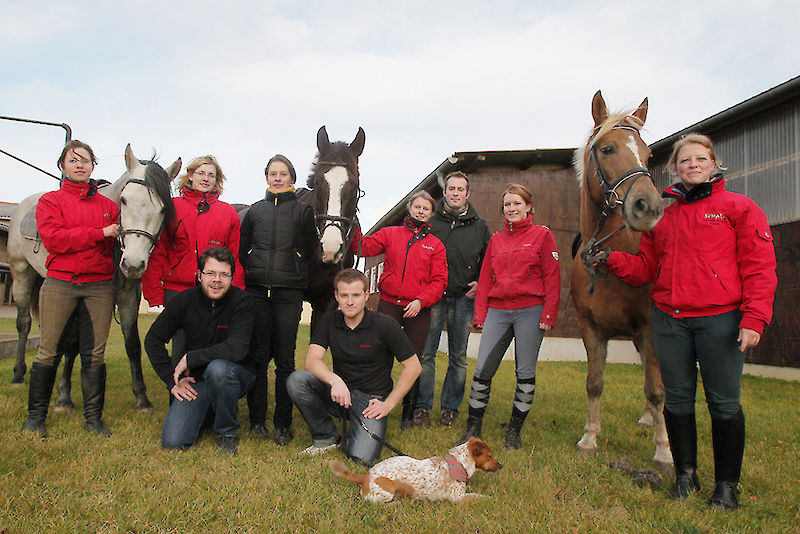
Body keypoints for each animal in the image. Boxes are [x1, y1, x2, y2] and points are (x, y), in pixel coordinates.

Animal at [330, 438, 500, 504]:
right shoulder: (457, 498)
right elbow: (477, 496)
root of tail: (365, 476)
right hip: (387, 492)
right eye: (490, 456)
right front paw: (489, 498)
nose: (501, 465)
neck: (458, 462)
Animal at [572, 91, 672, 468]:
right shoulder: (591, 329)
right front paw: (589, 439)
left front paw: (664, 450)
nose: (649, 207)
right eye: (607, 149)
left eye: (647, 154)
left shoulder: (649, 328)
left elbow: (656, 389)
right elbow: (595, 383)